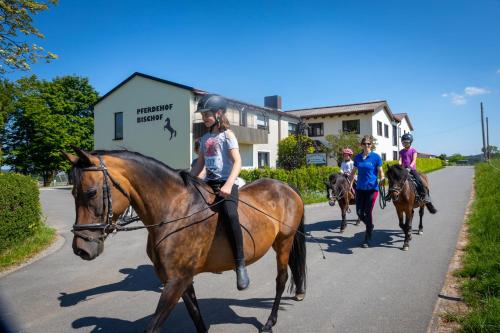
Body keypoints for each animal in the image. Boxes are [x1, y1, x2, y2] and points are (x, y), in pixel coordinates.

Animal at [62, 147, 304, 332]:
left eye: (91, 192)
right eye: (73, 193)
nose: (81, 248)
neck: (174, 212)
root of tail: (285, 186)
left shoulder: (175, 282)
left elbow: (153, 327)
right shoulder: (181, 280)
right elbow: (196, 316)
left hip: (284, 242)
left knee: (281, 279)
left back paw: (269, 322)